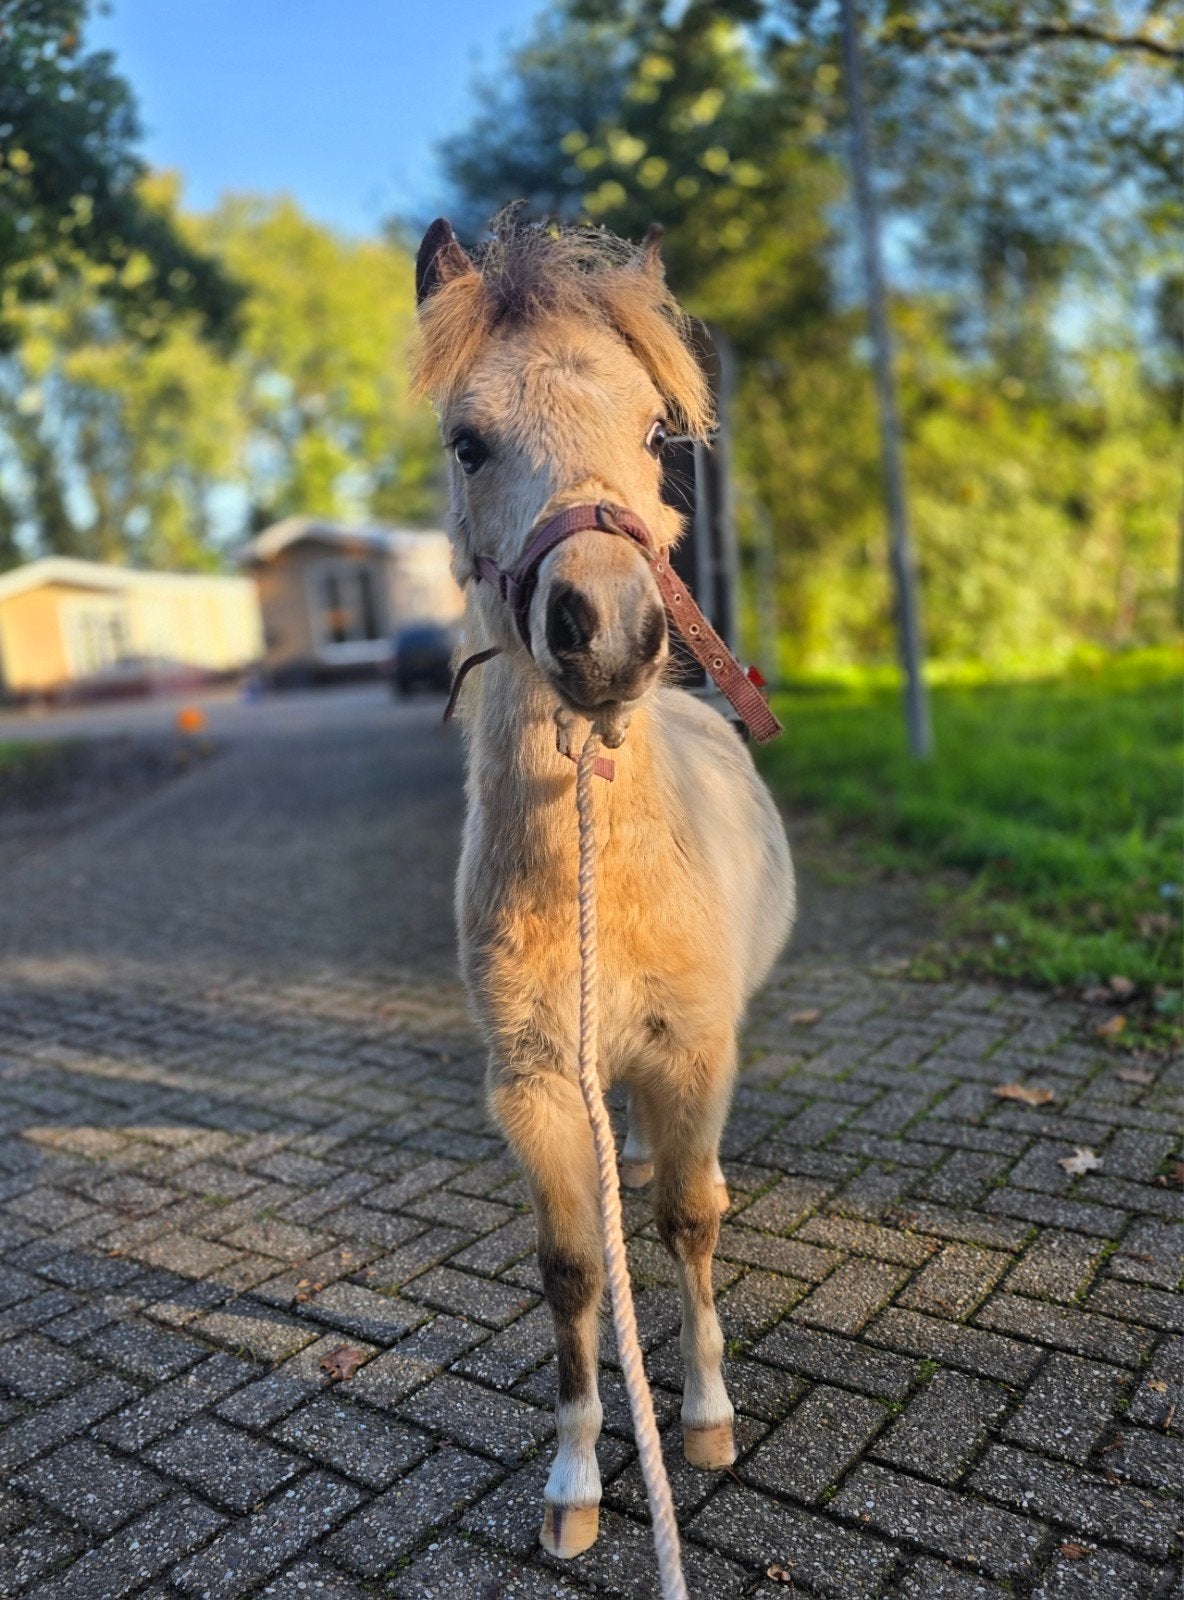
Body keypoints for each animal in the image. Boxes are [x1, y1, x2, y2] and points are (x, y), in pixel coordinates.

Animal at [412, 215, 794, 1560]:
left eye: (652, 432)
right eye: (466, 439)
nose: (607, 629)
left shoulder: (692, 1052)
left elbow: (688, 1219)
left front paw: (706, 1417)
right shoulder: (531, 1087)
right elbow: (574, 1267)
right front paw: (574, 1479)